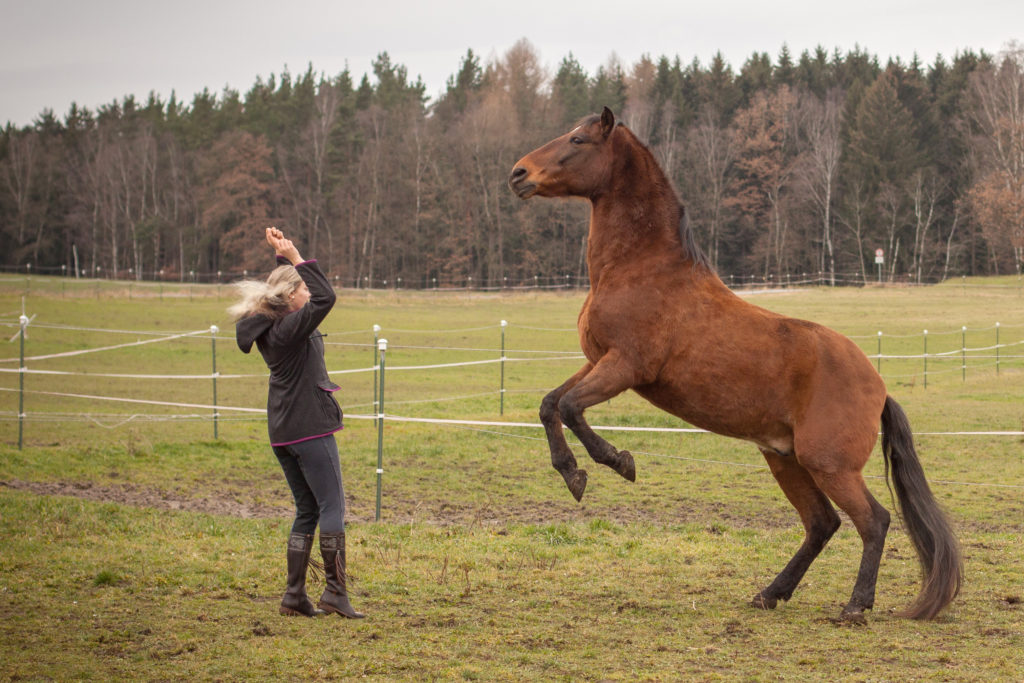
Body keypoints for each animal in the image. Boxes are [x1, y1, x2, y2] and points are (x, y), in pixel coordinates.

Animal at [507, 108, 962, 626]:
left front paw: (616, 463)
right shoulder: (597, 361)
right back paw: (770, 593)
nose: (518, 174)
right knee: (821, 523)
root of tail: (880, 388)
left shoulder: (625, 367)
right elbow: (550, 405)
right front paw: (573, 474)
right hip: (784, 459)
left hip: (830, 465)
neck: (639, 270)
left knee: (874, 521)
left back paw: (854, 606)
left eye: (578, 140)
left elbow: (570, 408)